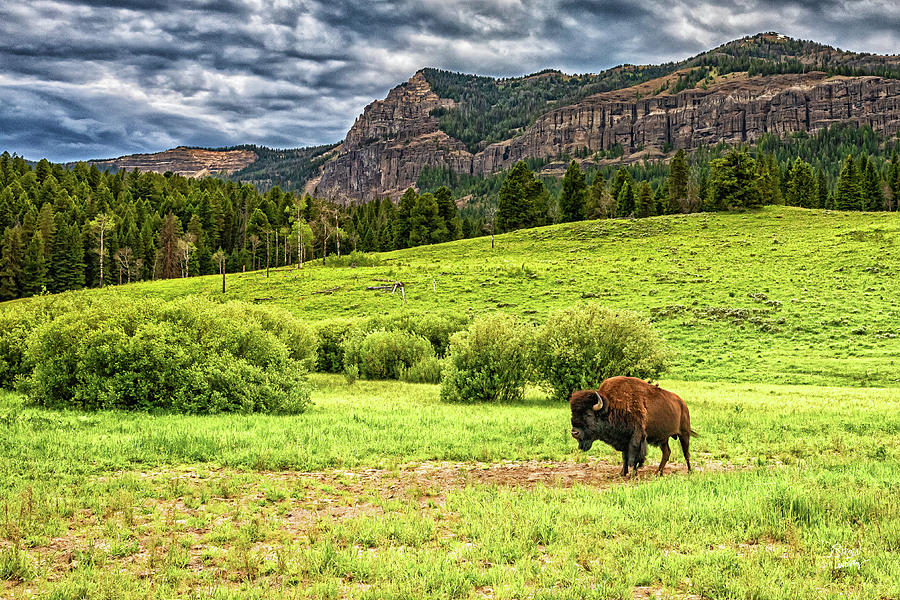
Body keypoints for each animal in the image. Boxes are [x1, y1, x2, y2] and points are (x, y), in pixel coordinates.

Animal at [568, 378, 696, 476]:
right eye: (572, 414)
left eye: (588, 414)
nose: (574, 433)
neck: (611, 407)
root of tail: (682, 404)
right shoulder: (623, 439)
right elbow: (624, 456)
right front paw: (622, 473)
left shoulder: (636, 437)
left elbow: (634, 455)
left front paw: (633, 474)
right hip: (664, 438)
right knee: (666, 453)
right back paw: (658, 473)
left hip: (684, 434)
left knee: (686, 453)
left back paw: (689, 471)